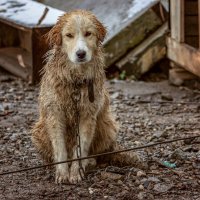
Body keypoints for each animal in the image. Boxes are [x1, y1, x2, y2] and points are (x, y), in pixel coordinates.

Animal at [30, 10, 145, 184]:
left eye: (88, 34)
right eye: (69, 35)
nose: (81, 54)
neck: (76, 81)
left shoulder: (87, 115)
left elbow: (82, 147)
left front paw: (76, 172)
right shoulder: (54, 114)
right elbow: (60, 147)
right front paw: (62, 172)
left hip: (107, 125)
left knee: (99, 155)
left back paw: (89, 162)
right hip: (39, 129)